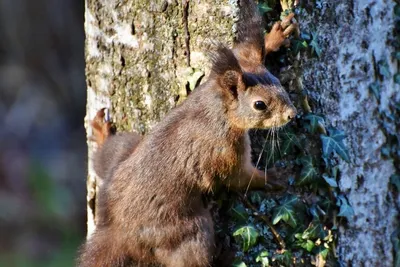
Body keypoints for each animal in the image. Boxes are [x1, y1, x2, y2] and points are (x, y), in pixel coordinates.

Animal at [77, 1, 296, 266]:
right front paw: (273, 177)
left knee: (104, 158)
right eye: (259, 105)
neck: (217, 107)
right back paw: (223, 254)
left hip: (125, 149)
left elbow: (244, 52)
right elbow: (240, 178)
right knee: (192, 256)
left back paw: (101, 134)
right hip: (189, 229)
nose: (292, 115)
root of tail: (120, 230)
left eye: (280, 84)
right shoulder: (225, 152)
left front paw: (274, 38)